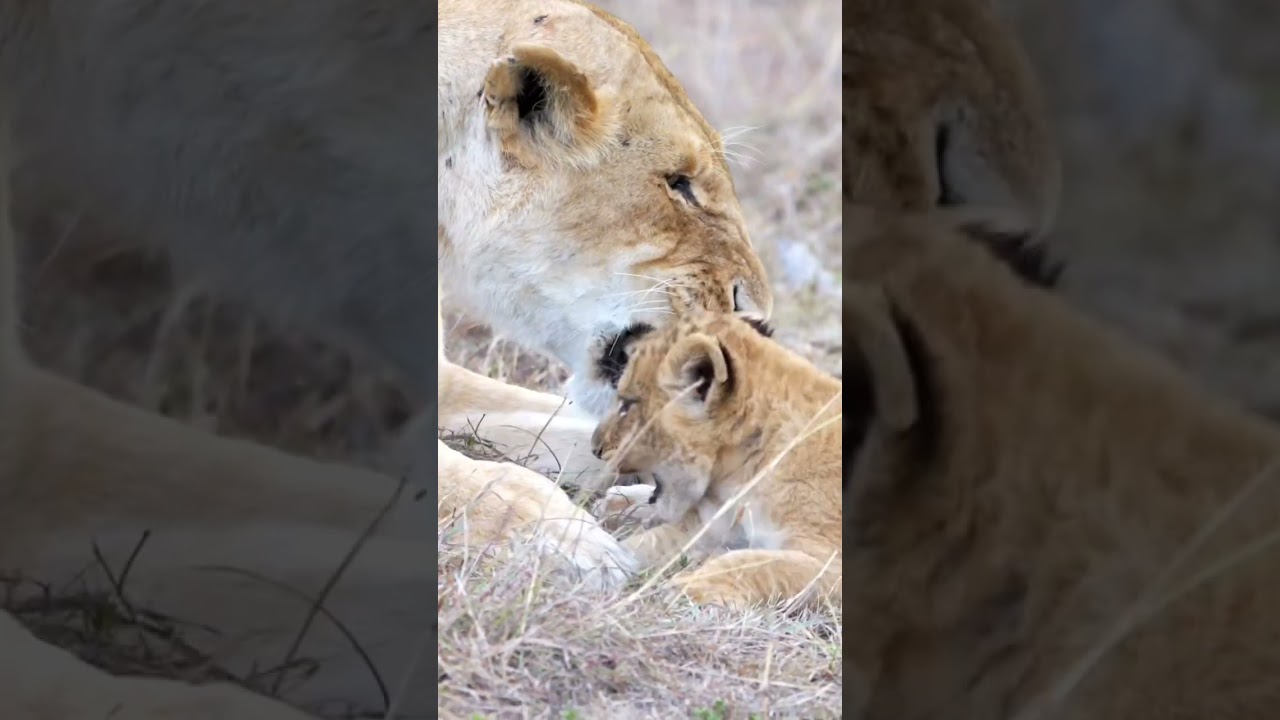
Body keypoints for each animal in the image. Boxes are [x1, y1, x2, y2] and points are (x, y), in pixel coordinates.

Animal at [587, 312, 842, 611]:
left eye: (628, 404)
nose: (595, 448)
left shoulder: (830, 561)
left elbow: (756, 564)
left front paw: (687, 587)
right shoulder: (713, 525)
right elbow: (649, 542)